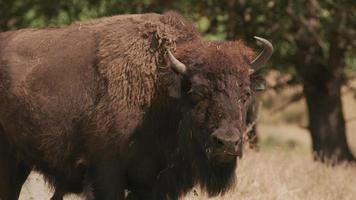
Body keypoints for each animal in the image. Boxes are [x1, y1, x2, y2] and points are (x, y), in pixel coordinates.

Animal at [0, 11, 272, 199]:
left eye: (246, 94)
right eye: (197, 92)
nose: (227, 142)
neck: (160, 90)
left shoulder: (152, 183)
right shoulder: (107, 174)